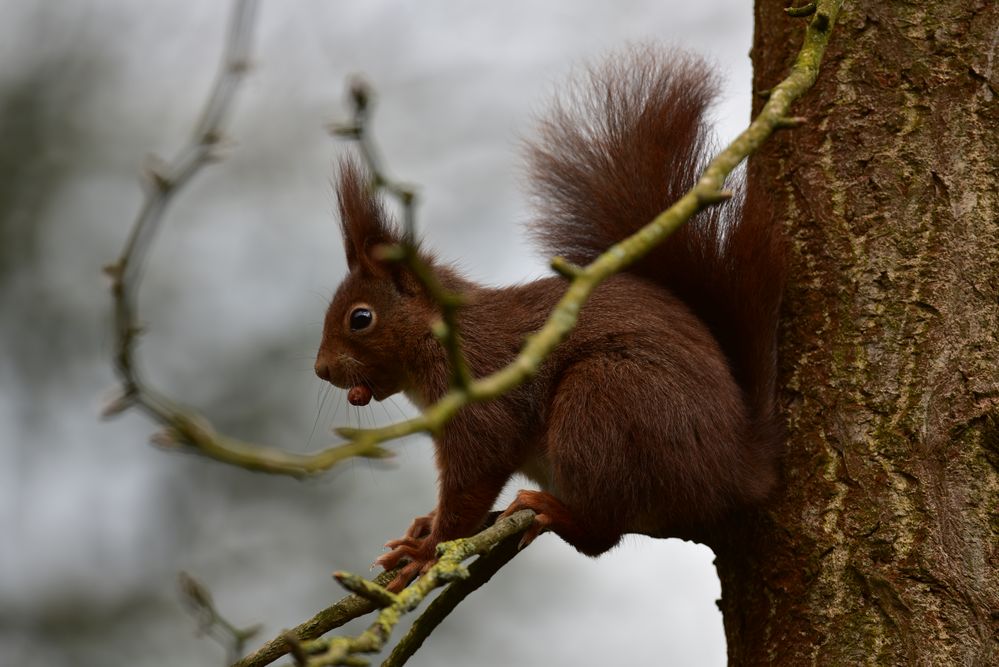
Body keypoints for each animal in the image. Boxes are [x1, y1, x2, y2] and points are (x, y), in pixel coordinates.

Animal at [316, 48, 784, 588]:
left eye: (360, 318)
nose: (321, 369)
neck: (441, 337)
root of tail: (738, 469)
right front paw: (422, 527)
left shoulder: (481, 394)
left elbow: (473, 480)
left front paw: (429, 551)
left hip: (606, 401)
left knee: (602, 534)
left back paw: (557, 512)